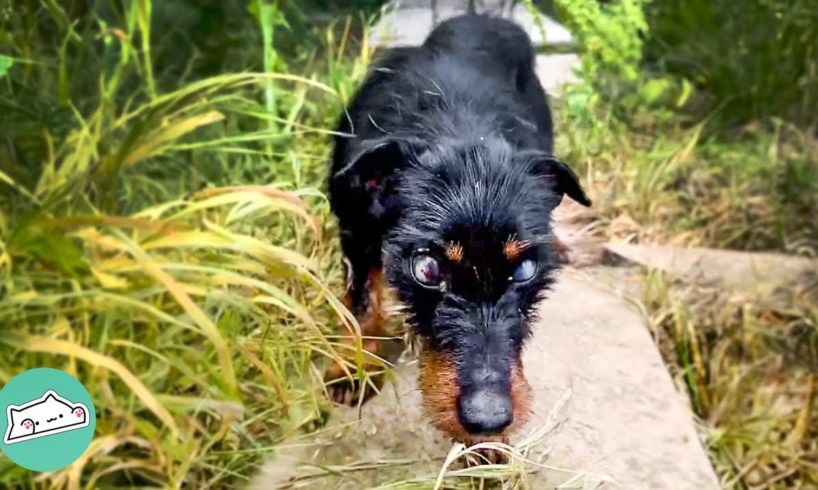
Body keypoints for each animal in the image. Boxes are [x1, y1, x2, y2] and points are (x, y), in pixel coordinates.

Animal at [324, 14, 588, 444]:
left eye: (525, 271)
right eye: (427, 269)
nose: (489, 418)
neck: (458, 126)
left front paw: (488, 449)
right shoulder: (354, 228)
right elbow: (360, 305)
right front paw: (353, 367)